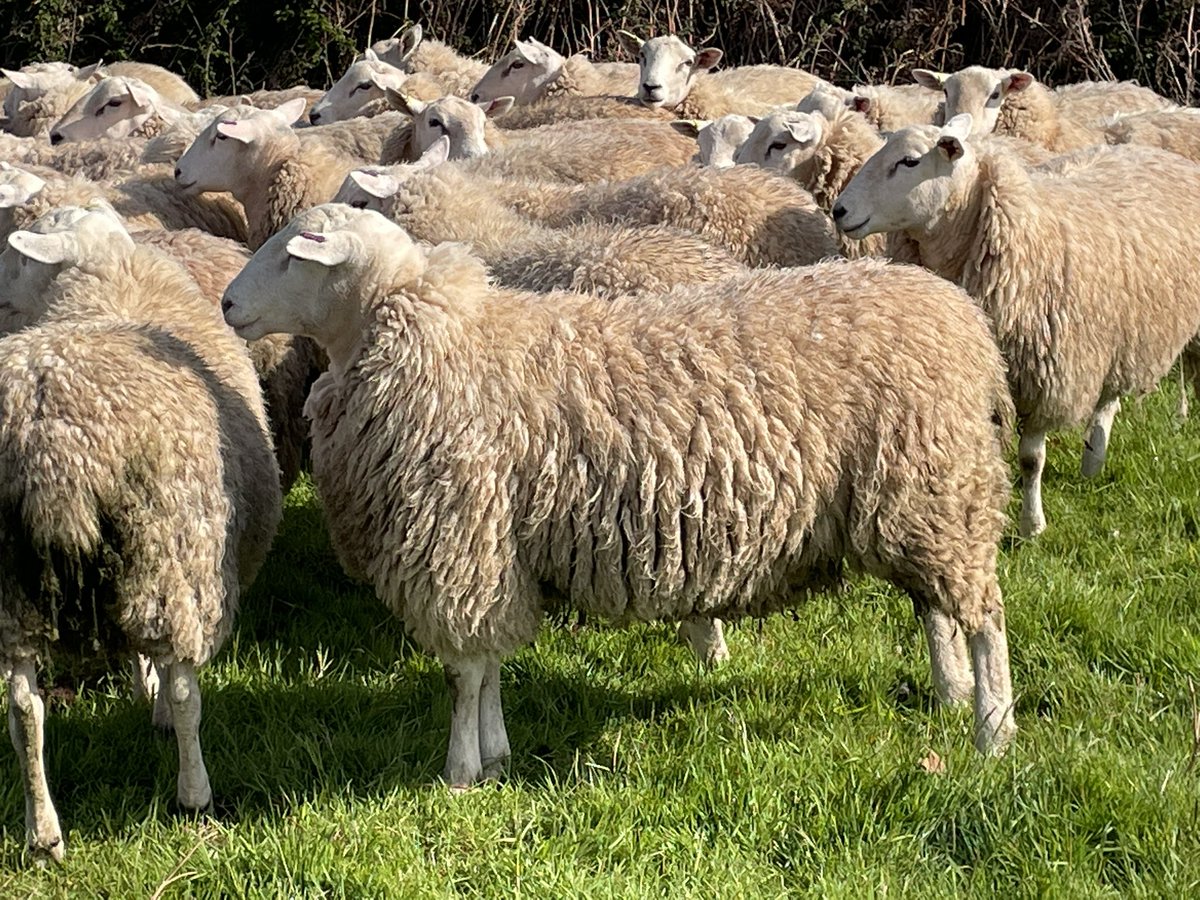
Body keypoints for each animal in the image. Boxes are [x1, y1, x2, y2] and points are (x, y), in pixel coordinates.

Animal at [0, 206, 281, 861]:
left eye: (20, 255)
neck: (109, 277)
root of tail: (51, 444)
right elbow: (168, 679)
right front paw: (149, 699)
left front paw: (135, 687)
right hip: (172, 560)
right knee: (185, 694)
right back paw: (193, 791)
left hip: (15, 590)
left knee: (25, 712)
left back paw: (42, 833)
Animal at [221, 202, 1017, 785]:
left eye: (295, 253)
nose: (228, 304)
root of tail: (965, 321)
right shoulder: (493, 552)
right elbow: (489, 665)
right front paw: (497, 753)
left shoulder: (461, 542)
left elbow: (464, 673)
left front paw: (460, 771)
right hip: (914, 498)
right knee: (936, 608)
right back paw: (950, 694)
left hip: (940, 485)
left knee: (984, 616)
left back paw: (993, 730)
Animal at [833, 115, 1200, 537]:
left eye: (909, 161)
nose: (839, 210)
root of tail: (1161, 155)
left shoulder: (1043, 375)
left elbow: (1031, 459)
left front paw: (1031, 525)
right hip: (1123, 327)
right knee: (1110, 395)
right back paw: (1093, 459)